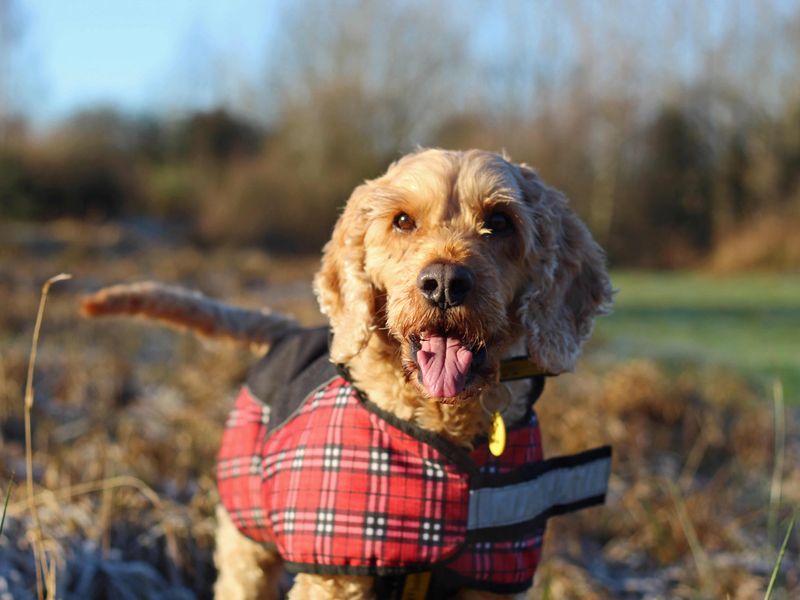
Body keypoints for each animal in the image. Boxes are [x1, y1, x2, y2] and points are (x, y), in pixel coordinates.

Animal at [84, 146, 612, 600]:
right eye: (402, 221)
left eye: (500, 221)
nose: (443, 283)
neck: (442, 425)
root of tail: (286, 330)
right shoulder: (336, 575)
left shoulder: (493, 579)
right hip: (244, 546)